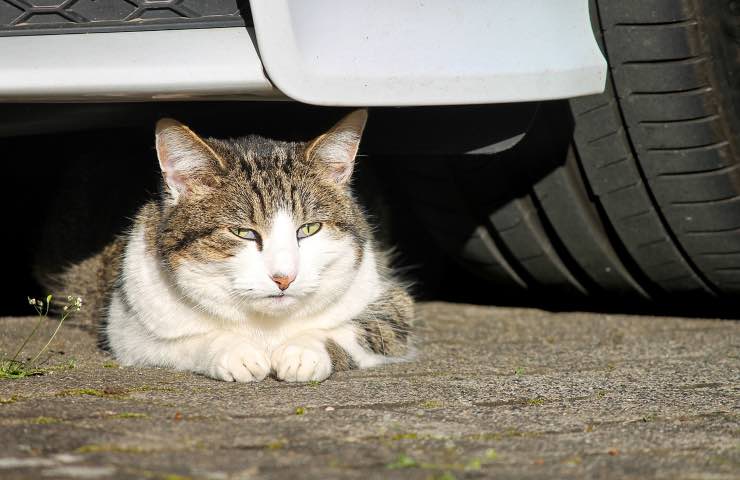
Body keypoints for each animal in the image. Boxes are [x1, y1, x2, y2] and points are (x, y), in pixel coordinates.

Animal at [48, 109, 414, 382]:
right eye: (243, 233)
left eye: (309, 229)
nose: (284, 278)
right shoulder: (129, 327)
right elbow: (182, 342)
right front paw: (235, 351)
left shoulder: (393, 305)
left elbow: (357, 329)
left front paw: (303, 350)